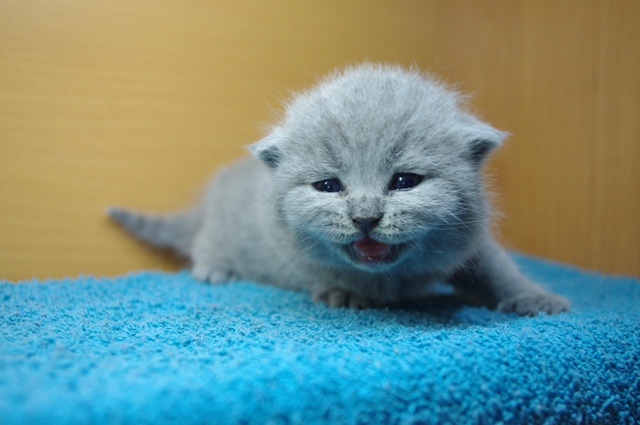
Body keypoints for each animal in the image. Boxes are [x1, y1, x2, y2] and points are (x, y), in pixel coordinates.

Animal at [109, 63, 569, 316]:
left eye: (405, 182)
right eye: (328, 186)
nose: (365, 217)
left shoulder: (470, 241)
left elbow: (499, 267)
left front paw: (535, 298)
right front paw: (345, 292)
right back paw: (213, 266)